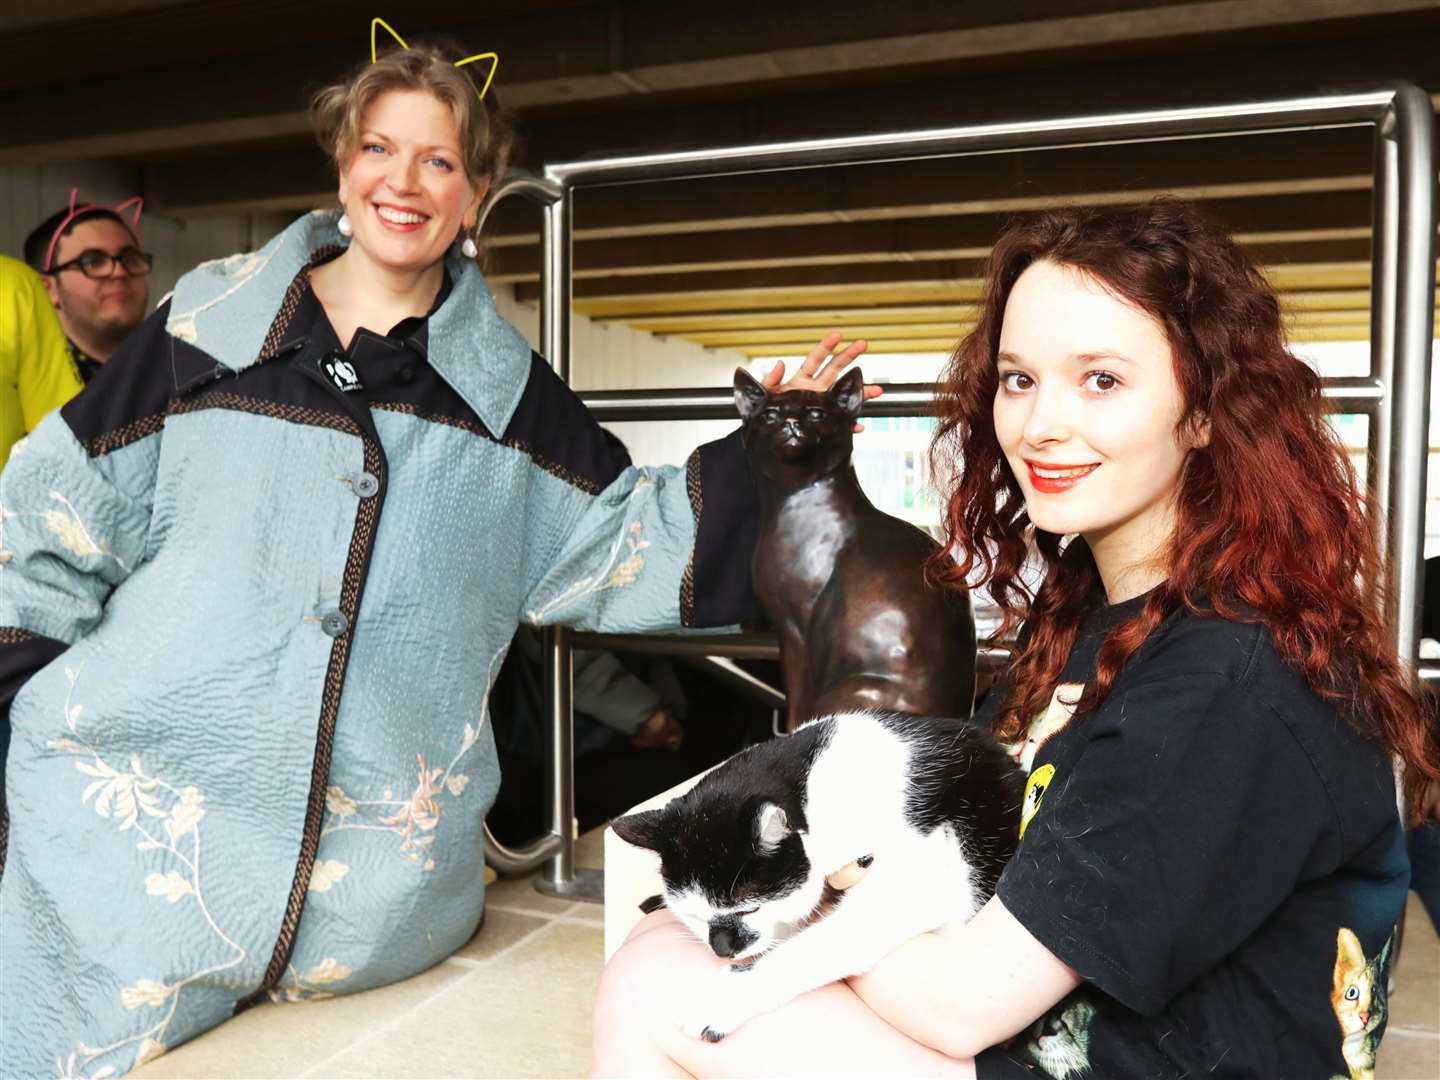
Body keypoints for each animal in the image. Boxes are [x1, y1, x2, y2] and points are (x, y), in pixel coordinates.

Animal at [607, 705, 1025, 1042]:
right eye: (693, 916)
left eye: (748, 908)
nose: (723, 949)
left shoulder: (923, 881)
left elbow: (815, 947)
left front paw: (726, 998)